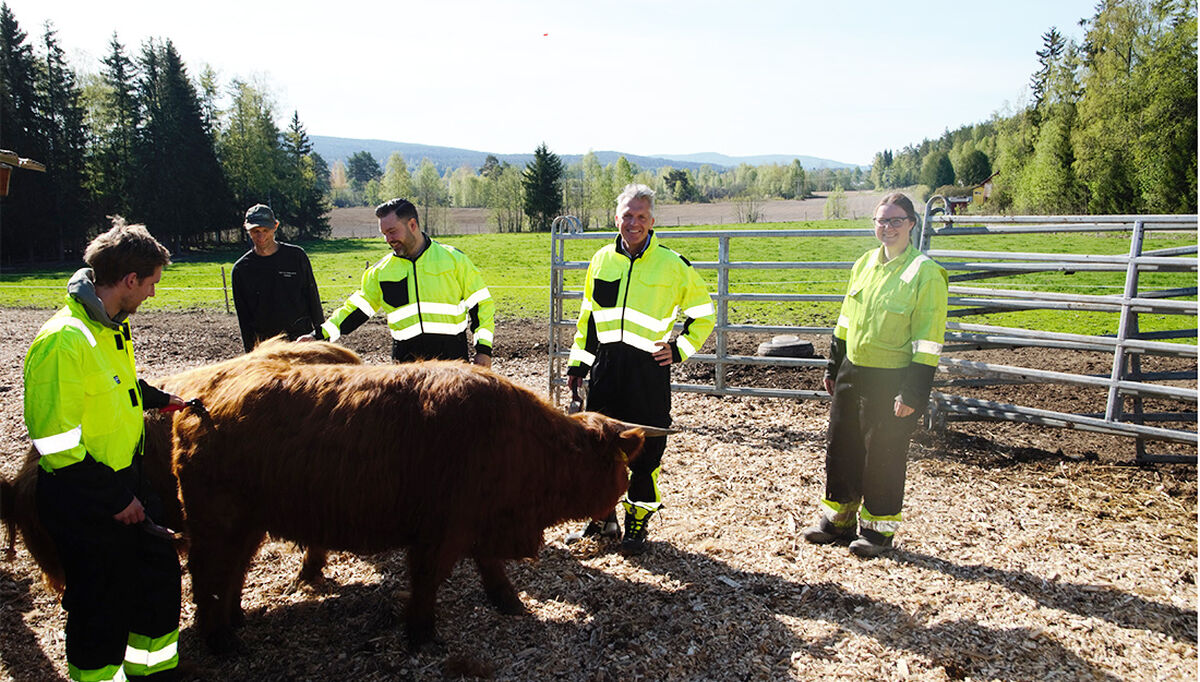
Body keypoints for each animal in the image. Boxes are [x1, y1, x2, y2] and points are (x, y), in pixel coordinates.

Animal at [171, 357, 648, 648]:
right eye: (620, 467)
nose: (613, 509)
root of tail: (202, 398)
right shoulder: (442, 530)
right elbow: (427, 581)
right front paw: (420, 633)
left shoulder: (476, 523)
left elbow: (491, 568)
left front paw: (509, 603)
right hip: (219, 522)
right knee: (210, 576)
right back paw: (221, 641)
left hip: (247, 524)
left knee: (234, 572)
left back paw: (235, 621)